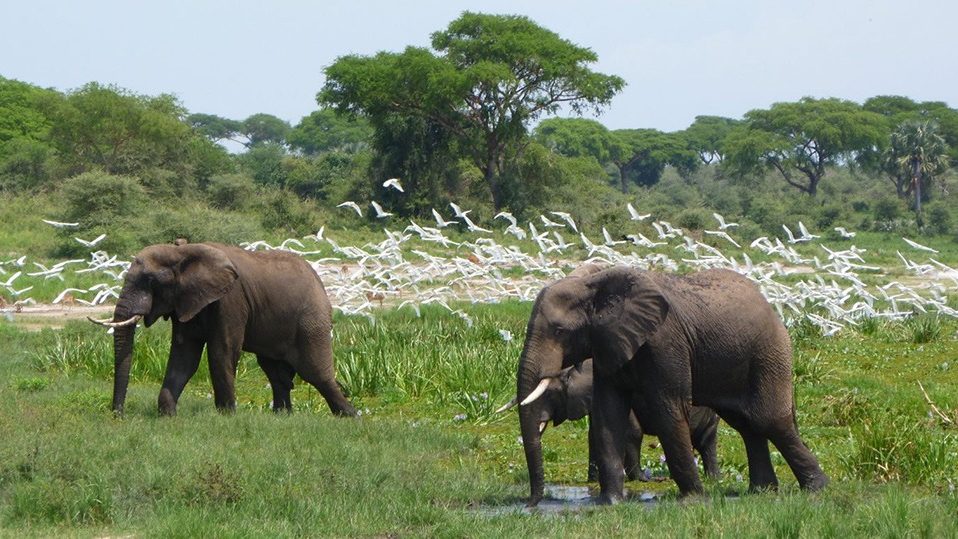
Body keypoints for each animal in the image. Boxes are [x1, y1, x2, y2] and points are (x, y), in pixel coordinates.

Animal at [90, 244, 358, 418]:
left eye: (150, 281)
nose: (118, 415)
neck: (181, 251)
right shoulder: (187, 302)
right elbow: (184, 356)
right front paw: (167, 416)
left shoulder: (230, 300)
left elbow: (222, 352)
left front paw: (226, 416)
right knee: (275, 372)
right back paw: (282, 416)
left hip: (311, 320)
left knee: (315, 372)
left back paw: (351, 416)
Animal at [502, 358, 720, 486]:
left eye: (548, 393)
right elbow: (594, 434)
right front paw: (593, 480)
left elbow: (632, 432)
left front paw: (642, 479)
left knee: (706, 441)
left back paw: (712, 478)